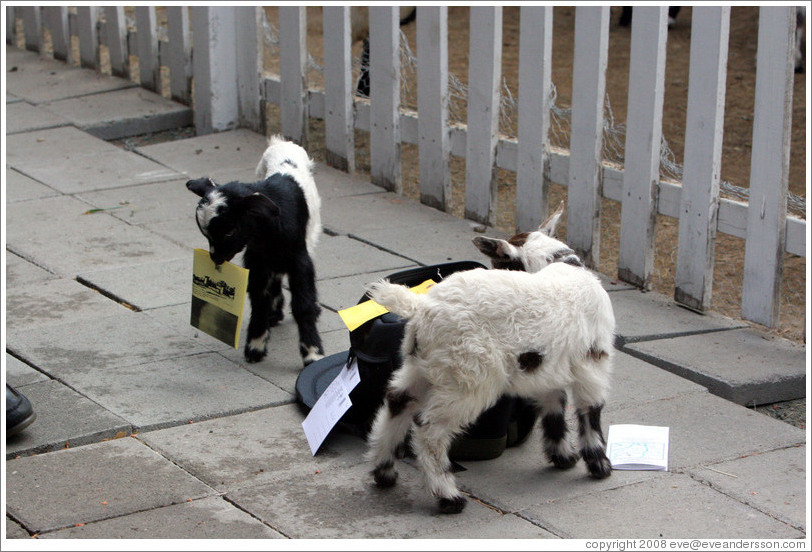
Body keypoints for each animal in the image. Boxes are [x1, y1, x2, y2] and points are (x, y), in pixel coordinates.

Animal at [186, 136, 324, 366]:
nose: (216, 258)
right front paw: (255, 347)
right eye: (206, 235)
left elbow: (303, 304)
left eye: (230, 231)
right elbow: (259, 300)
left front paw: (313, 354)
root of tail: (281, 142)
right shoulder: (256, 259)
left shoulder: (299, 259)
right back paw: (274, 312)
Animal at [364, 202, 615, 514]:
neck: (563, 267)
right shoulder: (594, 361)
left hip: (422, 366)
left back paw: (383, 471)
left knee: (397, 401)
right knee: (430, 427)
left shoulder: (547, 366)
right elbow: (590, 409)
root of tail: (421, 306)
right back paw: (449, 496)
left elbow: (553, 404)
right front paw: (599, 465)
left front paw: (563, 457)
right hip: (469, 376)